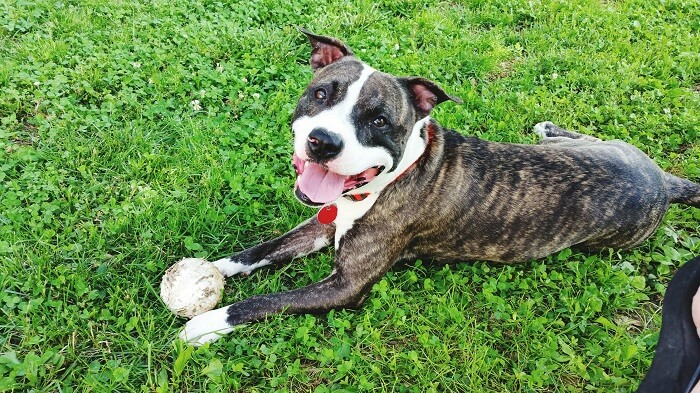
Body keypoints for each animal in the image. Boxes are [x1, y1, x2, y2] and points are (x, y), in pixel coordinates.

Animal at [180, 29, 700, 344]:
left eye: (379, 120)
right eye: (321, 93)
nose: (322, 142)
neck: (390, 177)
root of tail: (661, 180)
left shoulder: (346, 286)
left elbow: (265, 301)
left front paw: (205, 322)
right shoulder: (324, 221)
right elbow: (262, 250)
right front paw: (208, 270)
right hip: (602, 145)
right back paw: (549, 127)